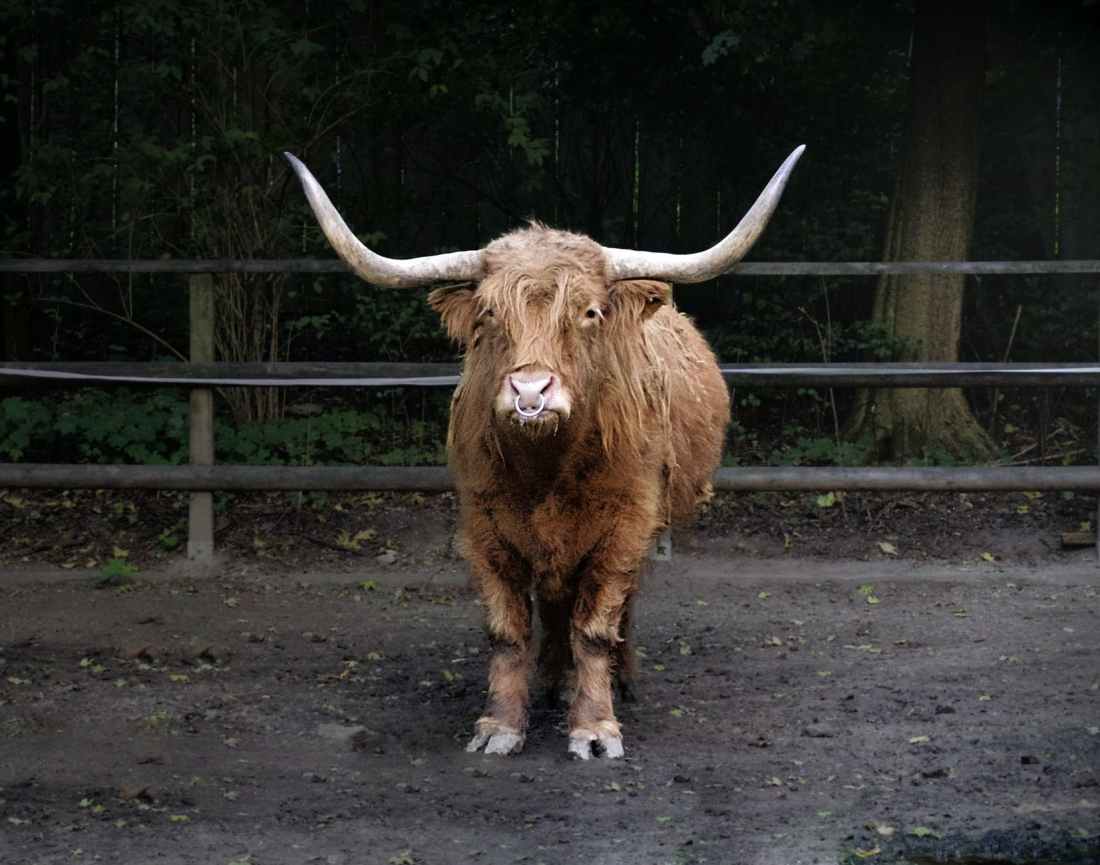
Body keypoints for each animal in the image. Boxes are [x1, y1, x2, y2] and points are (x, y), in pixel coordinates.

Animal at [285, 145, 804, 759]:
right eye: (489, 315)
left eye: (589, 313)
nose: (531, 393)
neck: (547, 470)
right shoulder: (484, 530)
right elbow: (508, 631)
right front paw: (501, 724)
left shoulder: (625, 527)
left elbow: (596, 627)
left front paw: (596, 728)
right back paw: (553, 682)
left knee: (616, 607)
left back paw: (622, 681)